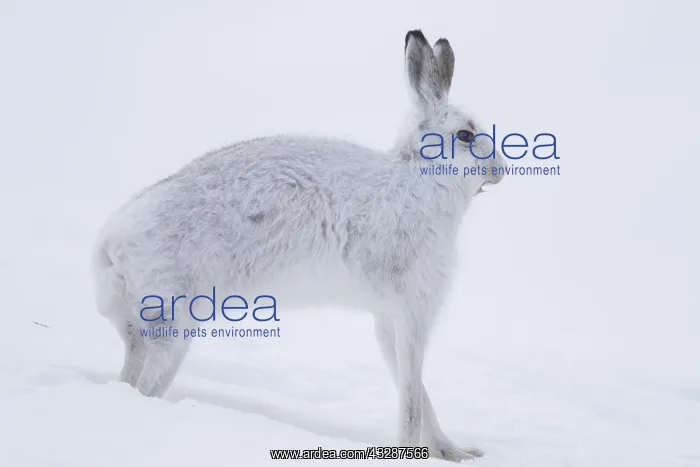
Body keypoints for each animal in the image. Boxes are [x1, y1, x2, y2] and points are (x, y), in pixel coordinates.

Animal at [91, 29, 506, 462]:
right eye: (465, 135)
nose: (500, 170)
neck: (422, 179)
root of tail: (110, 245)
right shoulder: (413, 311)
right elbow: (411, 398)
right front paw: (410, 452)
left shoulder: (387, 321)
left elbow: (419, 394)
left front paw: (455, 452)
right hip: (174, 322)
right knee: (144, 382)